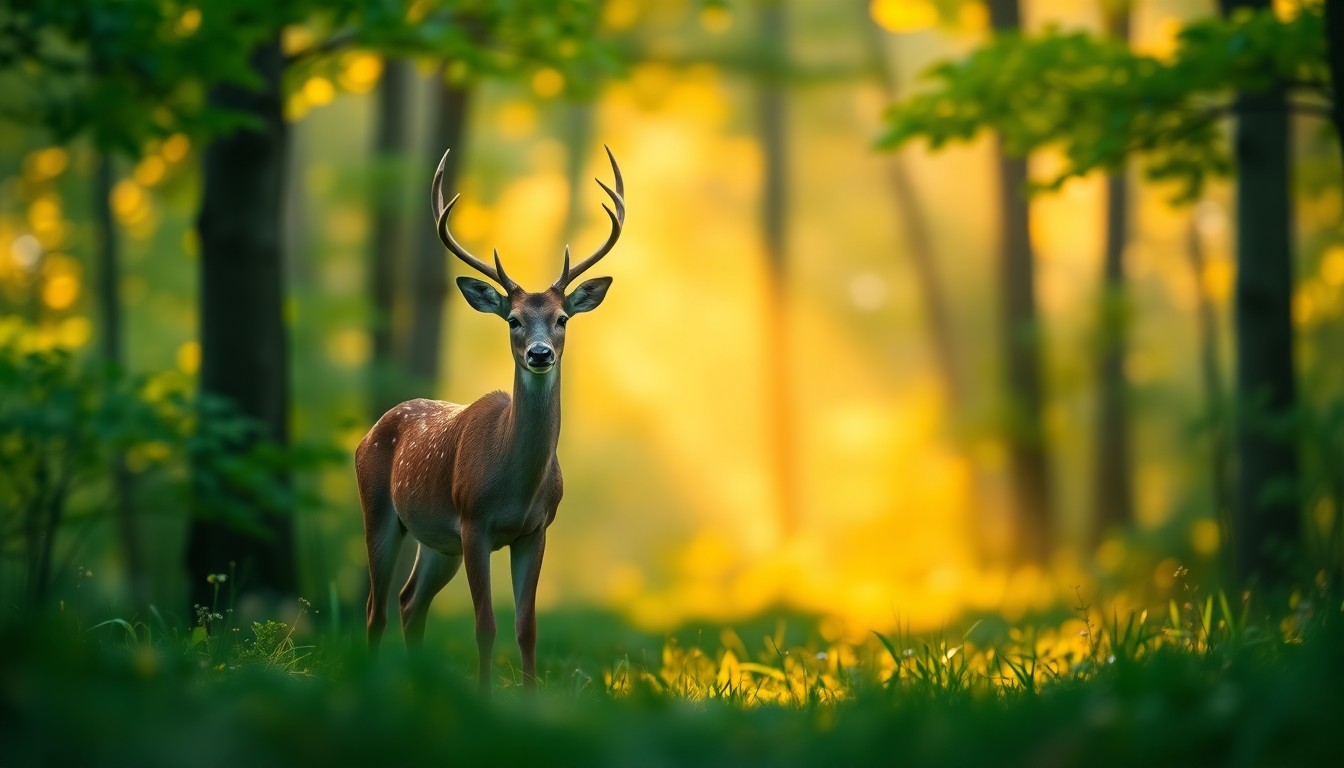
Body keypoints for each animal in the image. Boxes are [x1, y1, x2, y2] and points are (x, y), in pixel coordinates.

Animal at [355, 147, 624, 692]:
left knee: (409, 603)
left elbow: (527, 627)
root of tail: (370, 432)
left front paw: (529, 697)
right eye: (513, 320)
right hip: (382, 510)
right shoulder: (474, 520)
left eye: (562, 319)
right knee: (375, 607)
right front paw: (483, 696)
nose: (540, 353)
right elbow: (485, 625)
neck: (515, 487)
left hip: (439, 543)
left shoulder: (536, 529)